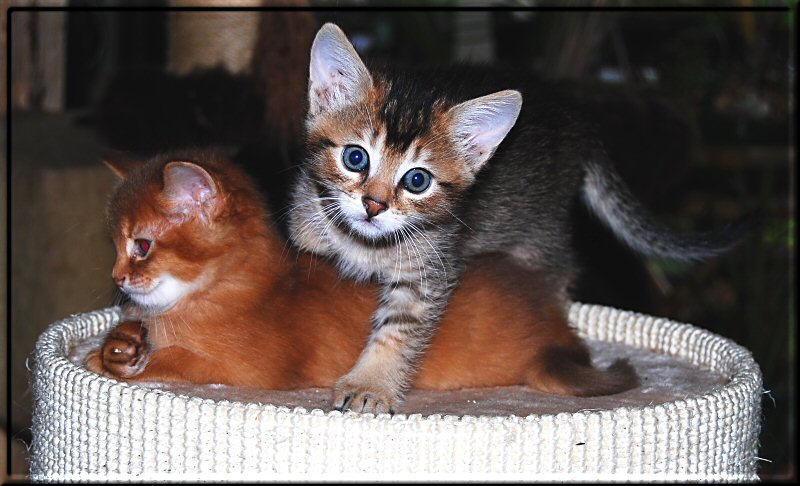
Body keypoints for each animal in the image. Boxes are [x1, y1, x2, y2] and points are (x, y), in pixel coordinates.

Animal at [86, 151, 636, 398]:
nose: (117, 277)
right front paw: (117, 346)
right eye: (114, 245)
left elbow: (173, 361)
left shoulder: (248, 370)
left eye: (141, 246)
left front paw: (108, 361)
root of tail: (552, 320)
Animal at [290, 21, 752, 410]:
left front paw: (371, 384)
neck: (364, 244)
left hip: (538, 234)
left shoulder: (431, 270)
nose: (373, 205)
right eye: (355, 158)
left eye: (417, 181)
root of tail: (576, 117)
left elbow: (399, 329)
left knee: (561, 272)